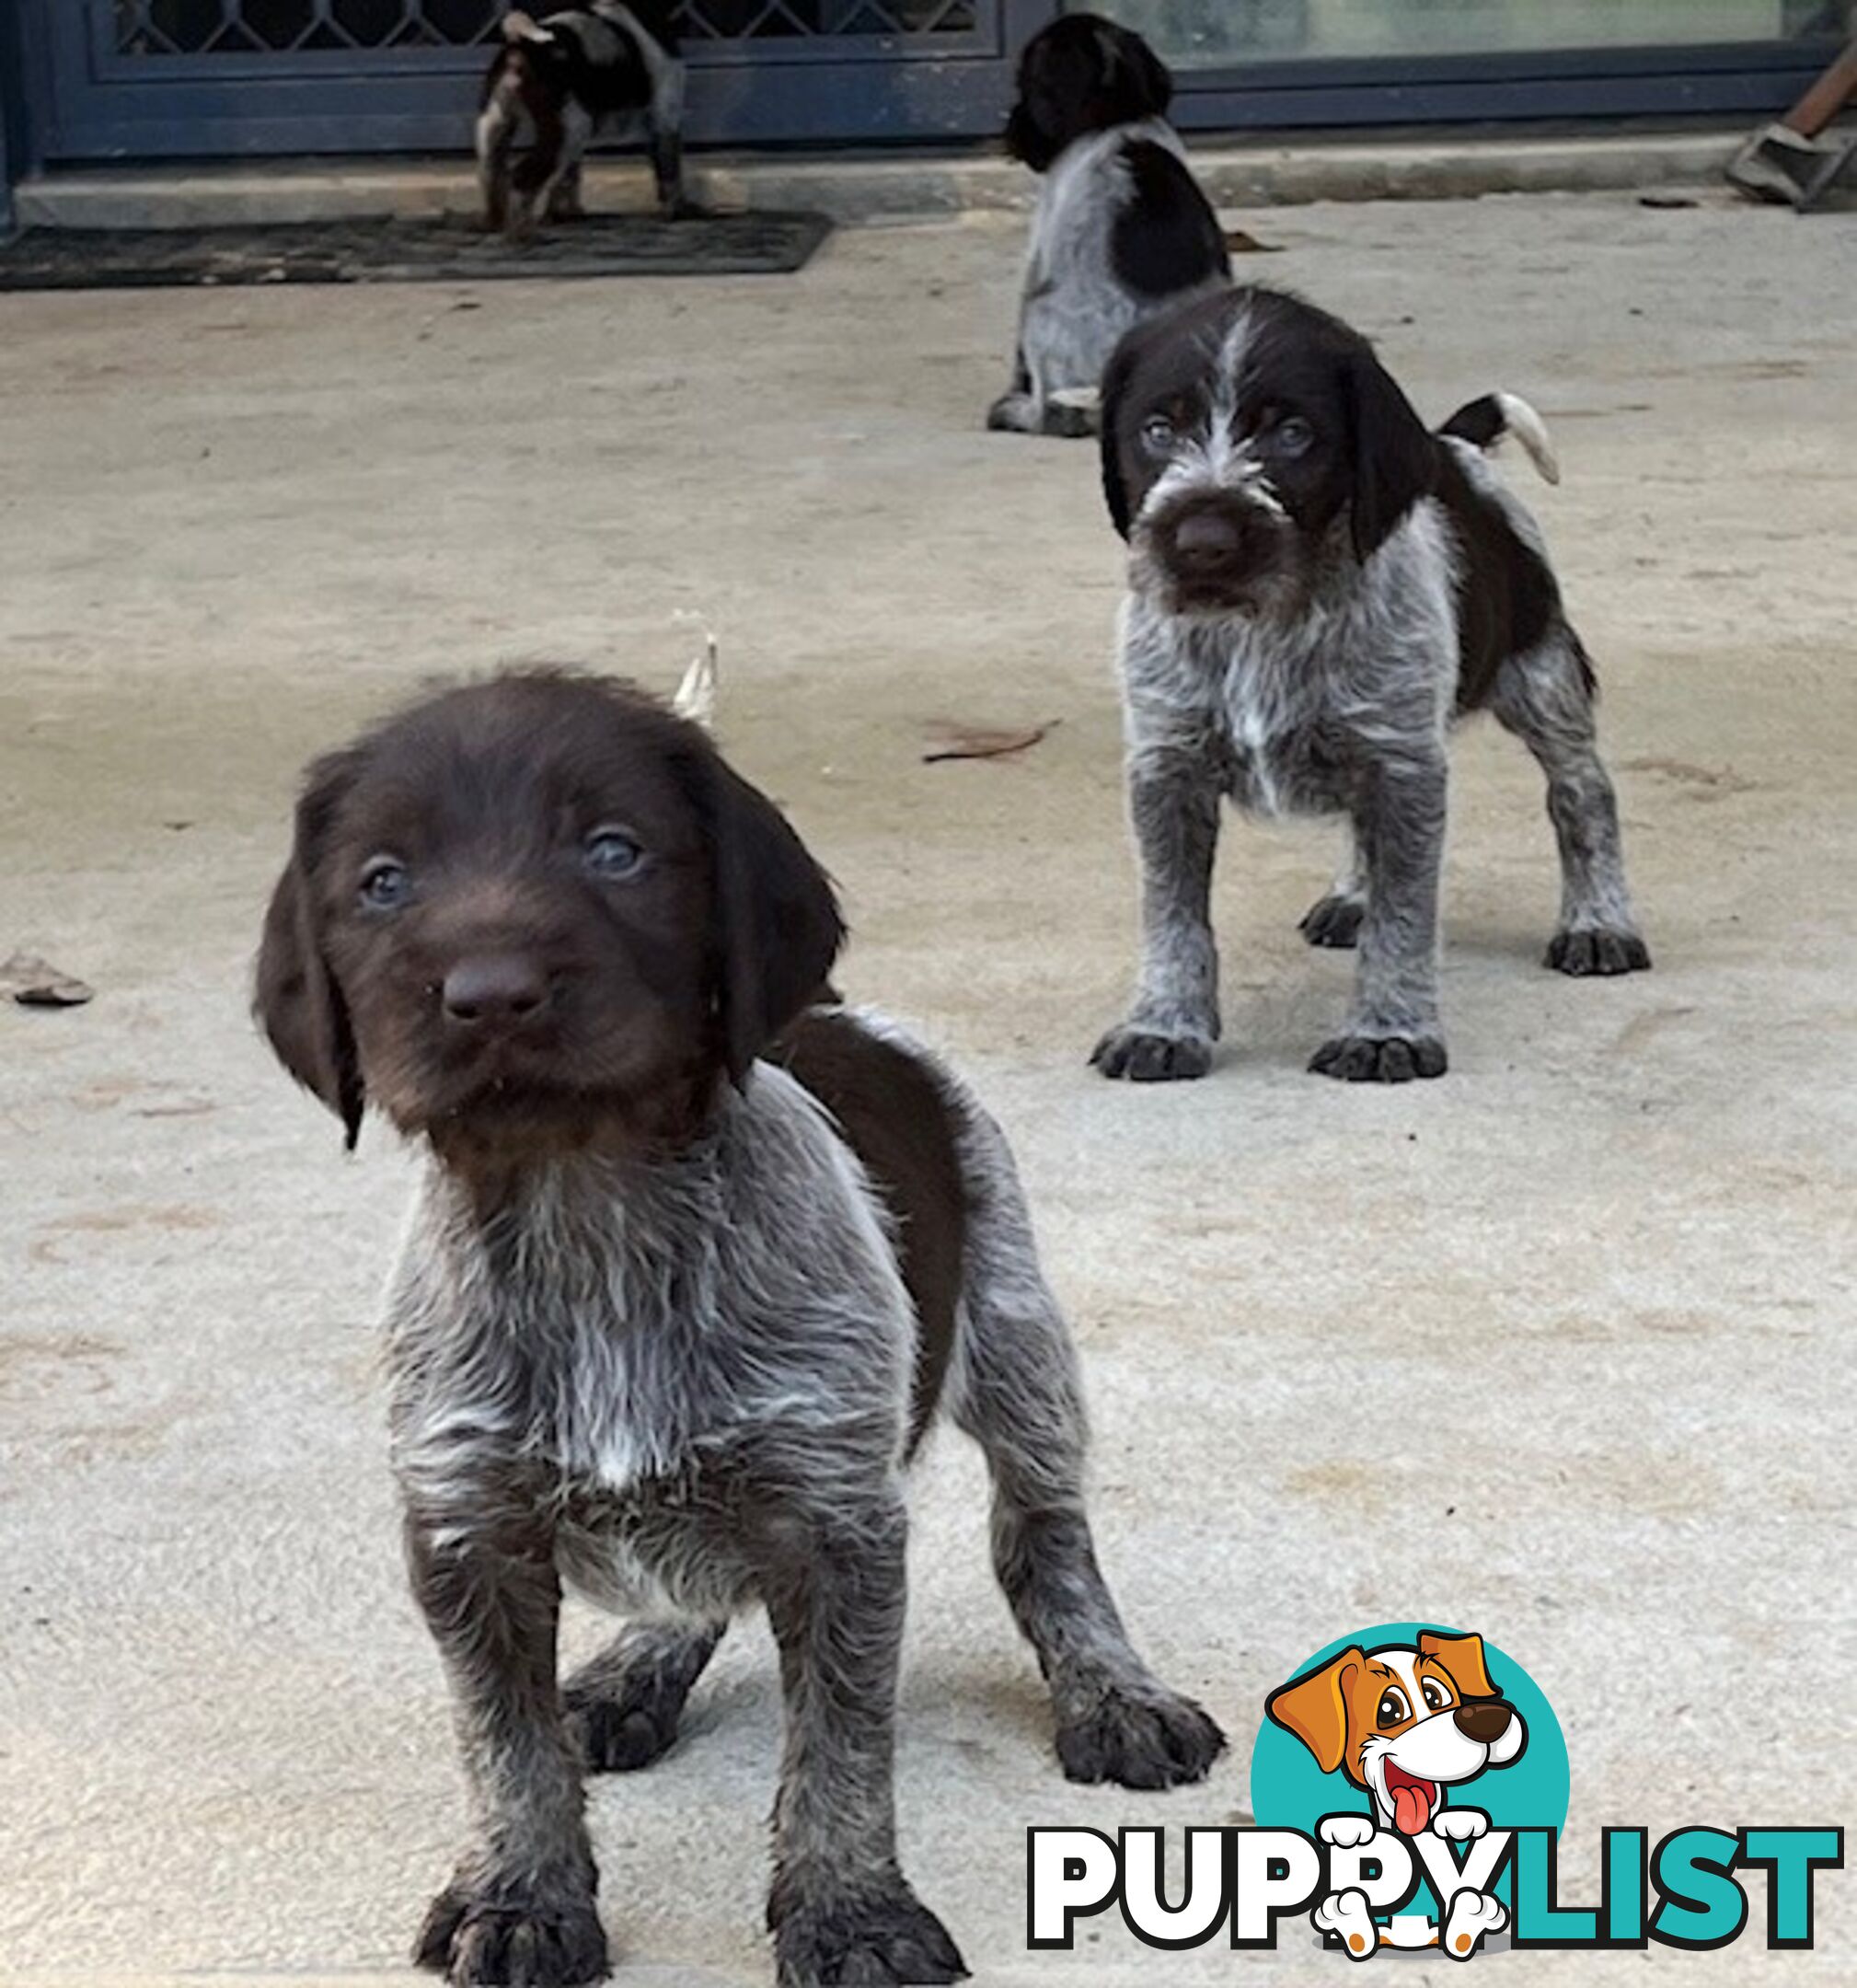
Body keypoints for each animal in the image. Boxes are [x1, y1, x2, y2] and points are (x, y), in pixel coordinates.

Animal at [254, 672, 1224, 1988]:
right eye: (382, 881)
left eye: (615, 851)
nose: (490, 994)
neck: (587, 1200)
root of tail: (832, 1012)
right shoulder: (465, 1526)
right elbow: (505, 1746)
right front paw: (521, 1894)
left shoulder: (836, 1520)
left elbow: (839, 1752)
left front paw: (851, 1914)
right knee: (691, 1587)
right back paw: (634, 1671)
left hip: (1018, 1336)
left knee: (1042, 1539)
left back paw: (1111, 1692)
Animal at [475, 0, 687, 238]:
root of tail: (524, 45)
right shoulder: (666, 118)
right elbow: (670, 171)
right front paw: (676, 211)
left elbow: (567, 179)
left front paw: (563, 215)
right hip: (567, 132)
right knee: (522, 179)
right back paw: (522, 233)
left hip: (494, 129)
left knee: (493, 178)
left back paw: (495, 225)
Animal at [989, 13, 1232, 441]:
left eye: (1026, 85)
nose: (1011, 130)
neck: (1118, 117)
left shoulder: (1040, 249)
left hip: (1041, 314)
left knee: (1056, 415)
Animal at [1090, 283, 1654, 1089]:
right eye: (1158, 430)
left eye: (1293, 433)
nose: (1202, 546)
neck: (1267, 623)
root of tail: (1451, 447)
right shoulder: (1167, 766)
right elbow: (1172, 916)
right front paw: (1163, 1023)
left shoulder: (1403, 765)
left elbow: (1404, 917)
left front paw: (1389, 1032)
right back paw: (1351, 896)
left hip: (1541, 671)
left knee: (1581, 792)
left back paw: (1599, 921)